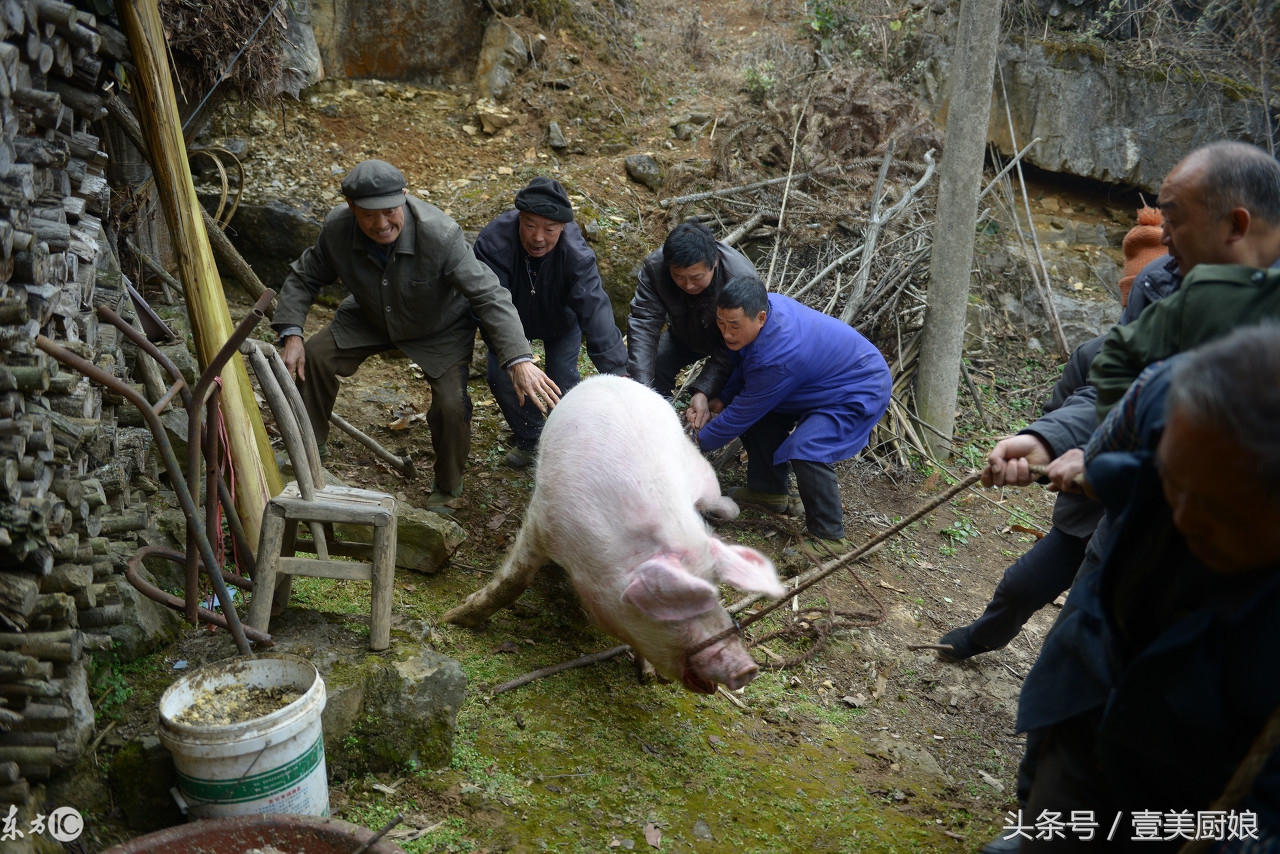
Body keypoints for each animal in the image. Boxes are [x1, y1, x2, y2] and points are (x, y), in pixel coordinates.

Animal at [440, 376, 783, 696]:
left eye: (715, 591)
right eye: (668, 601)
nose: (747, 668)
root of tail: (614, 378)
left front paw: (648, 676)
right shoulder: (542, 520)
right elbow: (513, 582)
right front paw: (452, 618)